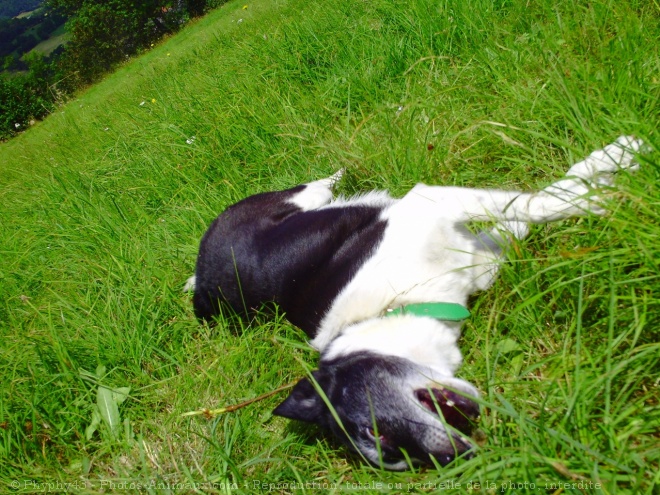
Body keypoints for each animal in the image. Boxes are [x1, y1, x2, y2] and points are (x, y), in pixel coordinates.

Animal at [188, 138, 640, 470]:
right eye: (397, 459)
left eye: (375, 431)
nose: (457, 458)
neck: (395, 305)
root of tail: (199, 285)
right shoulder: (479, 251)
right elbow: (538, 202)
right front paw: (604, 186)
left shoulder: (433, 204)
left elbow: (538, 202)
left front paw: (613, 173)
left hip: (300, 199)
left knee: (320, 184)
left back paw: (341, 173)